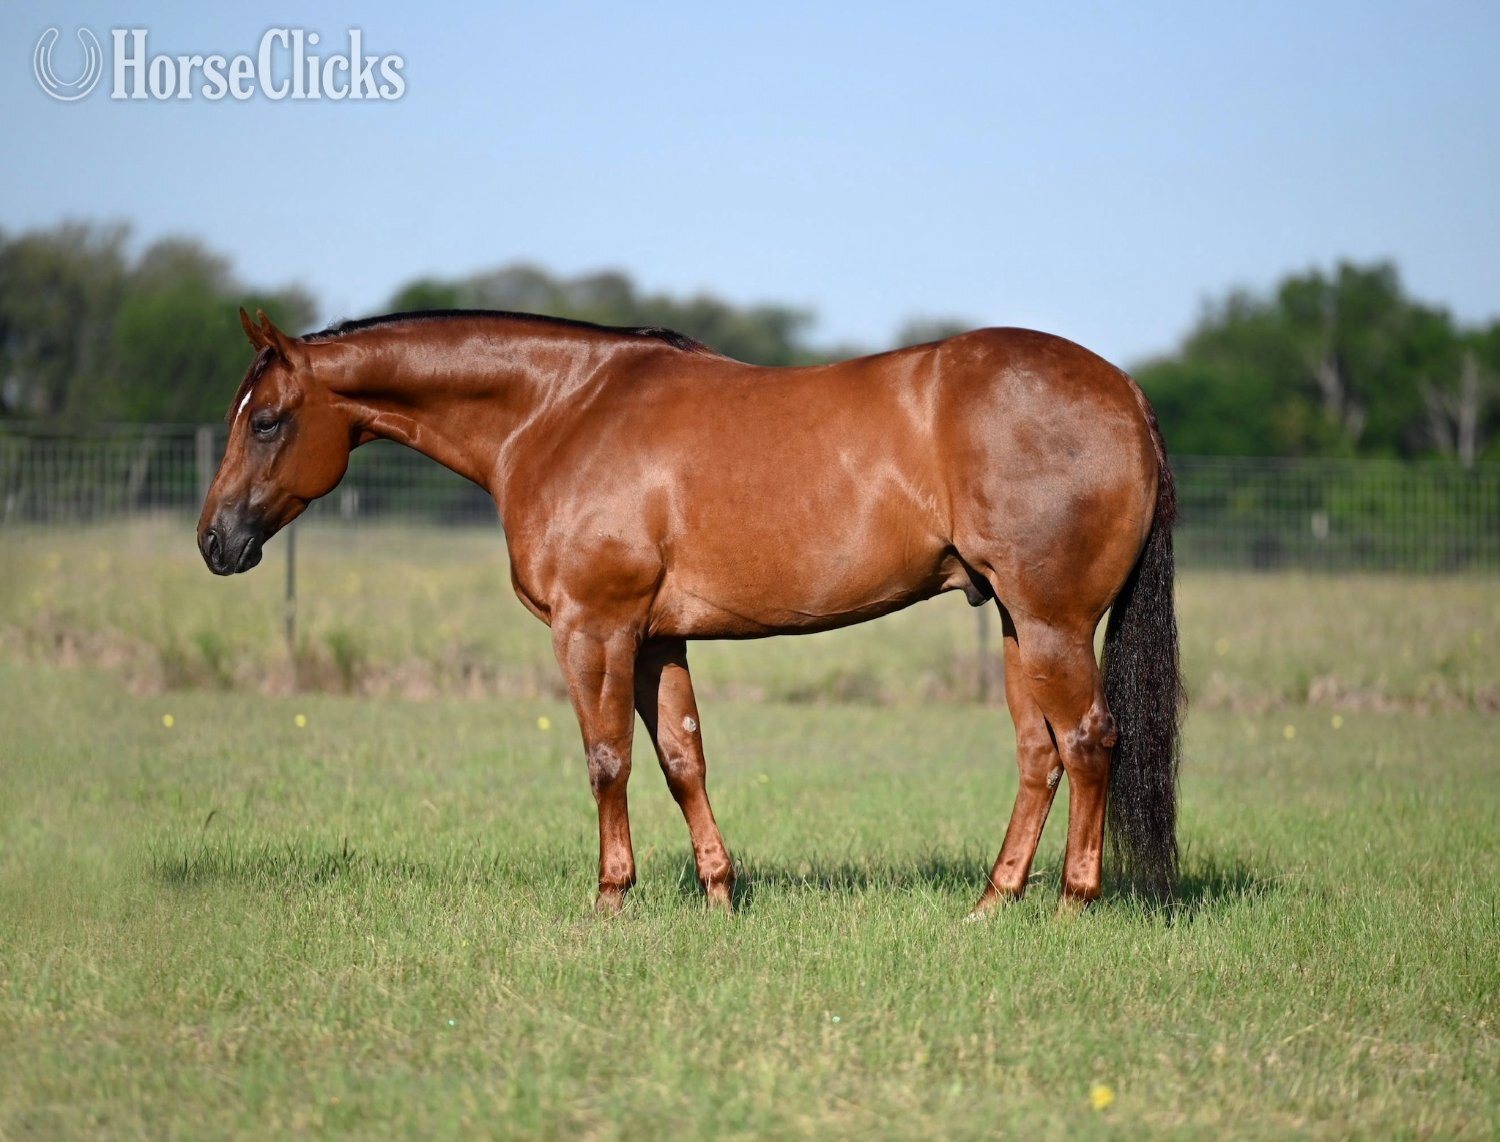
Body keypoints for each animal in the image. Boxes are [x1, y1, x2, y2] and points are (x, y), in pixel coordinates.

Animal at [199, 307, 1182, 915]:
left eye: (266, 420)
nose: (215, 541)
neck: (558, 412)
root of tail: (1127, 393)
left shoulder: (594, 627)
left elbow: (606, 761)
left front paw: (609, 899)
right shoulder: (656, 638)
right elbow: (681, 759)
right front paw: (718, 895)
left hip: (1052, 622)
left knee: (1088, 740)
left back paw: (1071, 905)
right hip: (1017, 623)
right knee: (1038, 756)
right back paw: (990, 903)